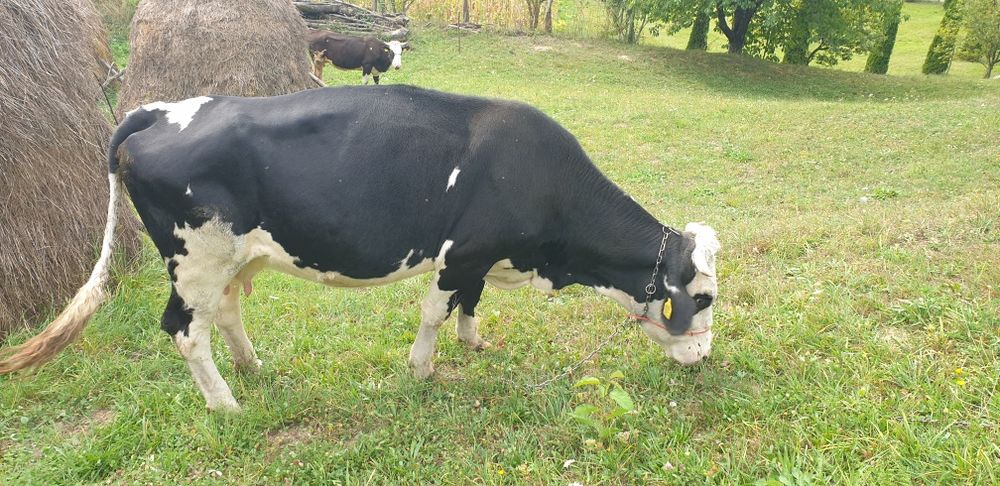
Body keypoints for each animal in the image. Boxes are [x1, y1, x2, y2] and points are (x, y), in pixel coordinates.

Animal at [0, 85, 720, 412]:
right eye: (704, 299)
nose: (703, 358)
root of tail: (162, 108)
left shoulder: (482, 255)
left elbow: (471, 304)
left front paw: (474, 343)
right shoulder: (462, 252)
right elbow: (435, 311)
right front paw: (425, 369)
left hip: (234, 256)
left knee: (226, 311)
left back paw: (252, 369)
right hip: (194, 257)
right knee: (183, 329)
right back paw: (225, 402)